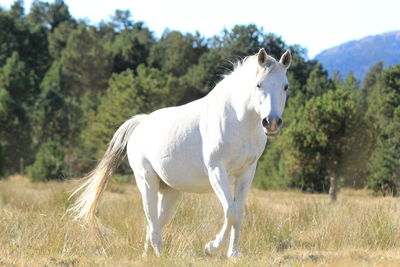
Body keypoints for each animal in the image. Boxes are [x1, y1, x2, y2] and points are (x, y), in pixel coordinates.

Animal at [69, 47, 290, 258]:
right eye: (259, 85)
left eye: (285, 86)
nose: (271, 122)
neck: (237, 119)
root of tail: (141, 123)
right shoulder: (217, 171)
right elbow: (230, 210)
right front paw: (211, 248)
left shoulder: (246, 174)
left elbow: (239, 213)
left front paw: (233, 254)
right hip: (146, 183)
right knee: (153, 223)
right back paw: (159, 255)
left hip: (169, 192)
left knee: (155, 223)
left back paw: (147, 255)